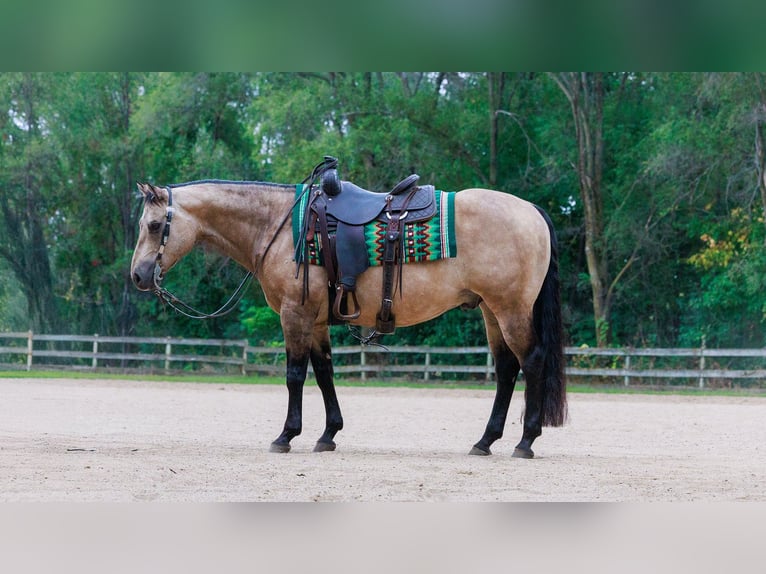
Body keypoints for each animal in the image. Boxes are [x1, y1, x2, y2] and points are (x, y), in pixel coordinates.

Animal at [130, 169, 567, 458]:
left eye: (152, 225)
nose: (137, 275)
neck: (279, 225)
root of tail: (531, 210)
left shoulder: (295, 314)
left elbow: (294, 375)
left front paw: (286, 436)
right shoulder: (317, 320)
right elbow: (324, 373)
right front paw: (328, 435)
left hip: (510, 310)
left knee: (531, 361)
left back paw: (525, 441)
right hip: (492, 312)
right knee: (507, 369)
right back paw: (485, 440)